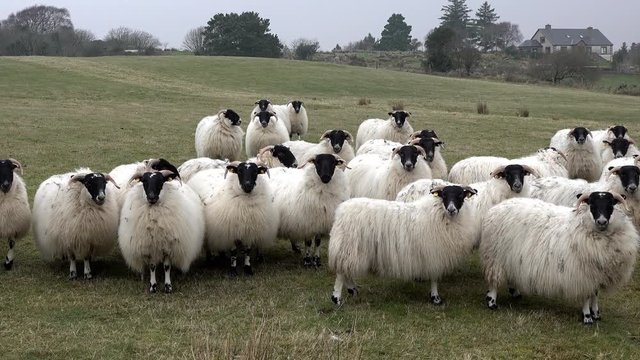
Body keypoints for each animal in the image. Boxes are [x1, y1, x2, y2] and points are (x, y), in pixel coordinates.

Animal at [332, 184, 478, 306]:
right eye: (444, 195)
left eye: (461, 195)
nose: (451, 209)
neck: (439, 214)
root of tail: (341, 211)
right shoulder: (434, 253)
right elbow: (434, 277)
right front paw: (435, 298)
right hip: (348, 246)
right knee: (341, 273)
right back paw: (336, 298)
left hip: (350, 249)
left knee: (346, 271)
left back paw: (352, 290)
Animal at [482, 193, 636, 324]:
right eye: (592, 205)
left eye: (610, 205)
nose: (602, 221)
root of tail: (496, 207)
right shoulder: (584, 274)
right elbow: (587, 295)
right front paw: (587, 317)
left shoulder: (596, 274)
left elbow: (595, 294)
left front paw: (596, 313)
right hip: (495, 257)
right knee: (493, 281)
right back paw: (492, 302)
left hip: (510, 257)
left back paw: (515, 293)